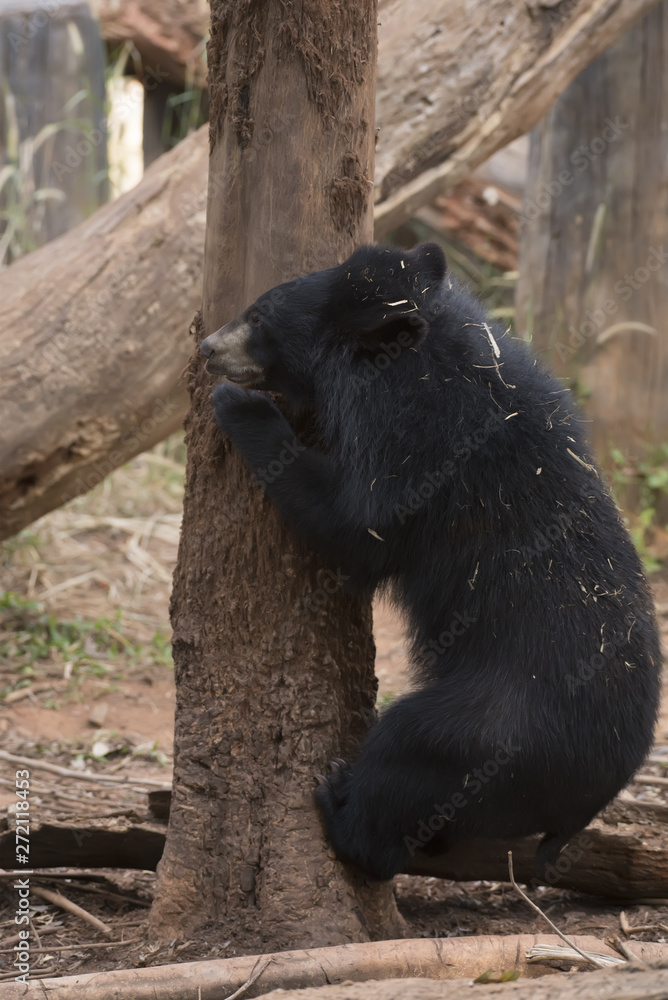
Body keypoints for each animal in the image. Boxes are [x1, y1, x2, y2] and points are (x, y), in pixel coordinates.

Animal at [201, 242, 661, 883]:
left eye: (260, 318)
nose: (206, 348)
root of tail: (585, 807)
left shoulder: (418, 444)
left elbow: (358, 523)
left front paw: (240, 407)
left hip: (494, 732)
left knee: (408, 755)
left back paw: (337, 804)